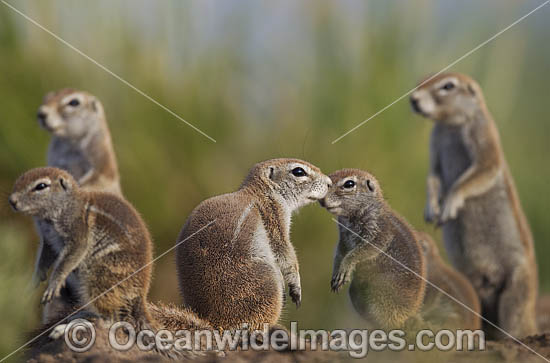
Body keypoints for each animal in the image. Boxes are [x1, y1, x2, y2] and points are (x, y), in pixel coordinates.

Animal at [177, 159, 332, 330]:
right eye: (299, 171)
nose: (330, 183)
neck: (260, 191)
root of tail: (214, 321)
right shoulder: (275, 216)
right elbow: (285, 252)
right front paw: (296, 288)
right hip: (268, 283)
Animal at [322, 169, 430, 332]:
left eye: (349, 184)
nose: (321, 198)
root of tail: (408, 315)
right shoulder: (343, 237)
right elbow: (340, 252)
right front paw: (336, 272)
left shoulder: (379, 231)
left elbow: (363, 250)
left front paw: (346, 267)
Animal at [414, 72, 540, 340]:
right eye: (421, 80)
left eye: (448, 85)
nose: (413, 99)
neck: (450, 125)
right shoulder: (434, 143)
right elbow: (432, 176)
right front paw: (431, 209)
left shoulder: (485, 135)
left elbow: (481, 170)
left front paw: (449, 205)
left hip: (517, 289)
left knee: (514, 318)